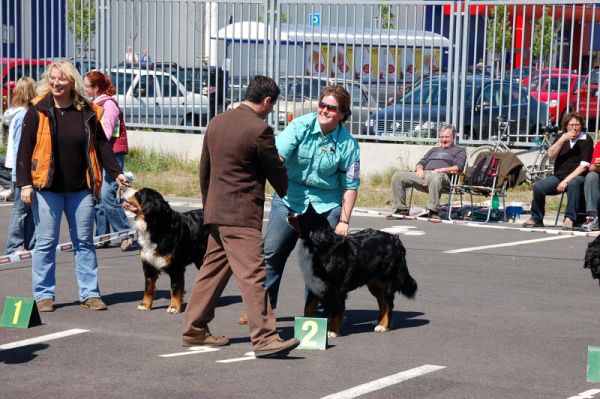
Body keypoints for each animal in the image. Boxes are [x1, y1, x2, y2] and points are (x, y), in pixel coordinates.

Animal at [118, 186, 210, 314]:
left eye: (139, 193)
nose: (122, 187)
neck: (156, 227)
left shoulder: (176, 267)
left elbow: (175, 288)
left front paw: (174, 307)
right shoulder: (148, 265)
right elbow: (148, 288)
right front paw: (145, 305)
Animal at [288, 208, 420, 340]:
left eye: (303, 216)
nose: (290, 213)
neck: (319, 247)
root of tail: (396, 240)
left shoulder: (337, 289)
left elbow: (335, 312)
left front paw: (332, 332)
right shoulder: (313, 285)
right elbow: (308, 309)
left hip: (387, 283)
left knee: (389, 305)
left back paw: (383, 326)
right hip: (375, 285)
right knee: (382, 303)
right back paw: (378, 322)